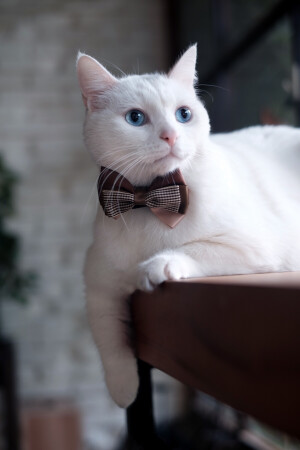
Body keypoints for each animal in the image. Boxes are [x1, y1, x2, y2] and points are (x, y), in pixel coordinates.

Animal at [76, 44, 300, 408]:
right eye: (135, 118)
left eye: (184, 114)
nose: (170, 135)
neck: (149, 201)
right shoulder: (97, 281)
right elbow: (109, 336)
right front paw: (124, 388)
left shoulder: (250, 247)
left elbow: (191, 248)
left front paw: (158, 265)